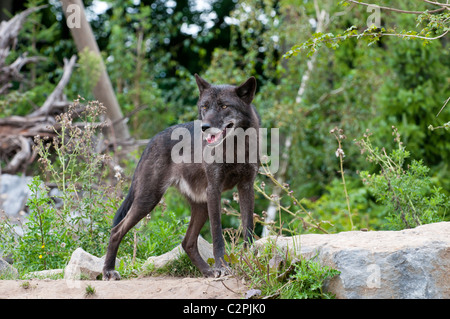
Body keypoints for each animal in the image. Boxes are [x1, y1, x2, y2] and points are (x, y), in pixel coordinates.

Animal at [101, 75, 256, 280]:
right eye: (204, 107)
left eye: (224, 106)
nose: (205, 127)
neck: (235, 148)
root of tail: (151, 141)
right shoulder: (214, 189)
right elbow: (217, 235)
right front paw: (222, 267)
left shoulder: (246, 186)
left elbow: (249, 228)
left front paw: (250, 260)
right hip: (148, 199)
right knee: (116, 230)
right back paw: (108, 271)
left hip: (200, 205)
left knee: (187, 242)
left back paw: (207, 271)